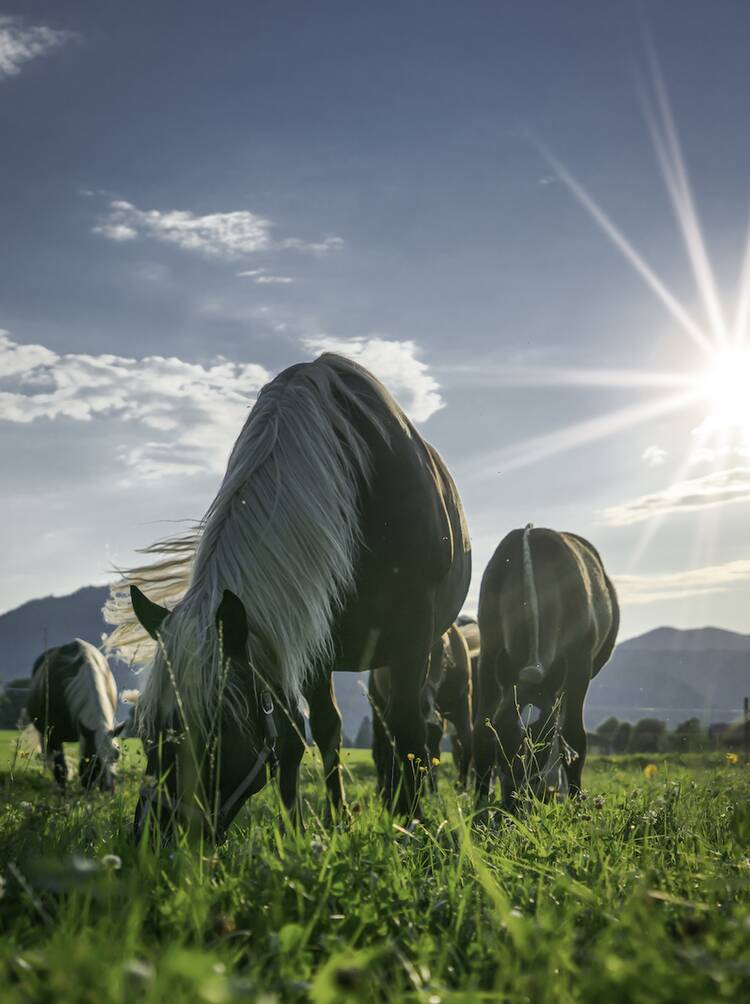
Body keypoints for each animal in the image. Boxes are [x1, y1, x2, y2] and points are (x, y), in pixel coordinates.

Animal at [25, 642, 122, 791]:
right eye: (93, 758)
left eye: (117, 755)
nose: (108, 788)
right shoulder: (54, 736)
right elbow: (61, 769)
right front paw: (62, 792)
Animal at [371, 618, 471, 791]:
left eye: (443, 656)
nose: (423, 703)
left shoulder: (461, 703)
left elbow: (466, 741)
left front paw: (461, 787)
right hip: (377, 705)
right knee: (379, 748)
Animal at [471, 530, 618, 811]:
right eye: (501, 730)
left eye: (544, 736)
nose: (516, 801)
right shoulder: (489, 652)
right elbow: (481, 731)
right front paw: (479, 806)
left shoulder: (579, 662)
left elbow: (573, 735)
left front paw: (575, 803)